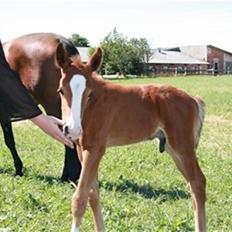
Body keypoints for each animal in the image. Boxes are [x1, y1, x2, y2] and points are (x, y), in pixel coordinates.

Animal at [56, 44, 207, 232]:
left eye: (89, 94)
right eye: (61, 91)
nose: (72, 129)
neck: (93, 107)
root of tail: (193, 99)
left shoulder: (95, 150)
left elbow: (80, 197)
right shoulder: (81, 149)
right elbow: (93, 194)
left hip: (183, 146)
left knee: (198, 183)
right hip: (173, 148)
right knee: (192, 184)